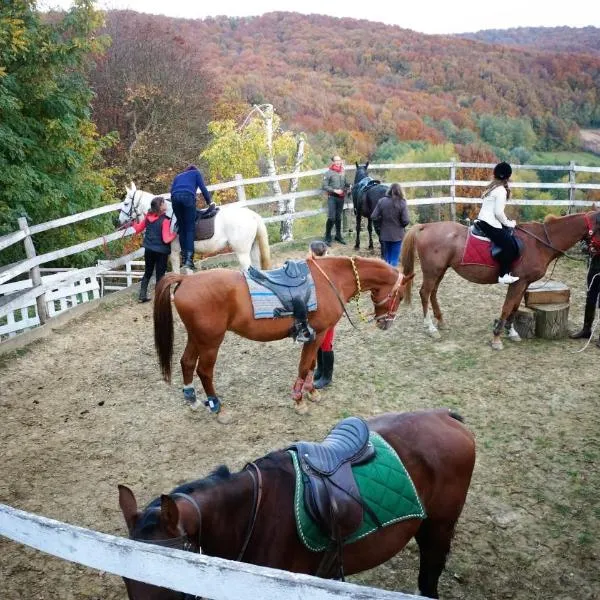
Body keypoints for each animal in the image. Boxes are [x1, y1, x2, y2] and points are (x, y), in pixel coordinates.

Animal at [118, 180, 272, 270]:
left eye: (125, 203)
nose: (119, 220)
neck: (168, 215)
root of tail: (252, 215)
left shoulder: (174, 252)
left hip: (242, 252)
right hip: (252, 249)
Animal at [152, 256, 414, 422]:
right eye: (401, 296)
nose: (385, 323)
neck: (332, 278)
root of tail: (186, 280)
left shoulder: (315, 335)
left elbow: (311, 365)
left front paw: (311, 392)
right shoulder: (317, 334)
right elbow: (304, 366)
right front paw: (299, 401)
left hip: (197, 337)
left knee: (186, 362)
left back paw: (193, 401)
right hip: (211, 342)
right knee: (204, 371)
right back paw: (219, 408)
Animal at [400, 212, 600, 350]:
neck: (540, 242)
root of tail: (426, 227)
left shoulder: (524, 283)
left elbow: (515, 307)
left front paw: (512, 332)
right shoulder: (518, 282)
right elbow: (507, 306)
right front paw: (496, 338)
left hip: (440, 271)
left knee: (433, 293)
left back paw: (440, 321)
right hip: (432, 271)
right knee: (425, 293)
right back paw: (430, 327)